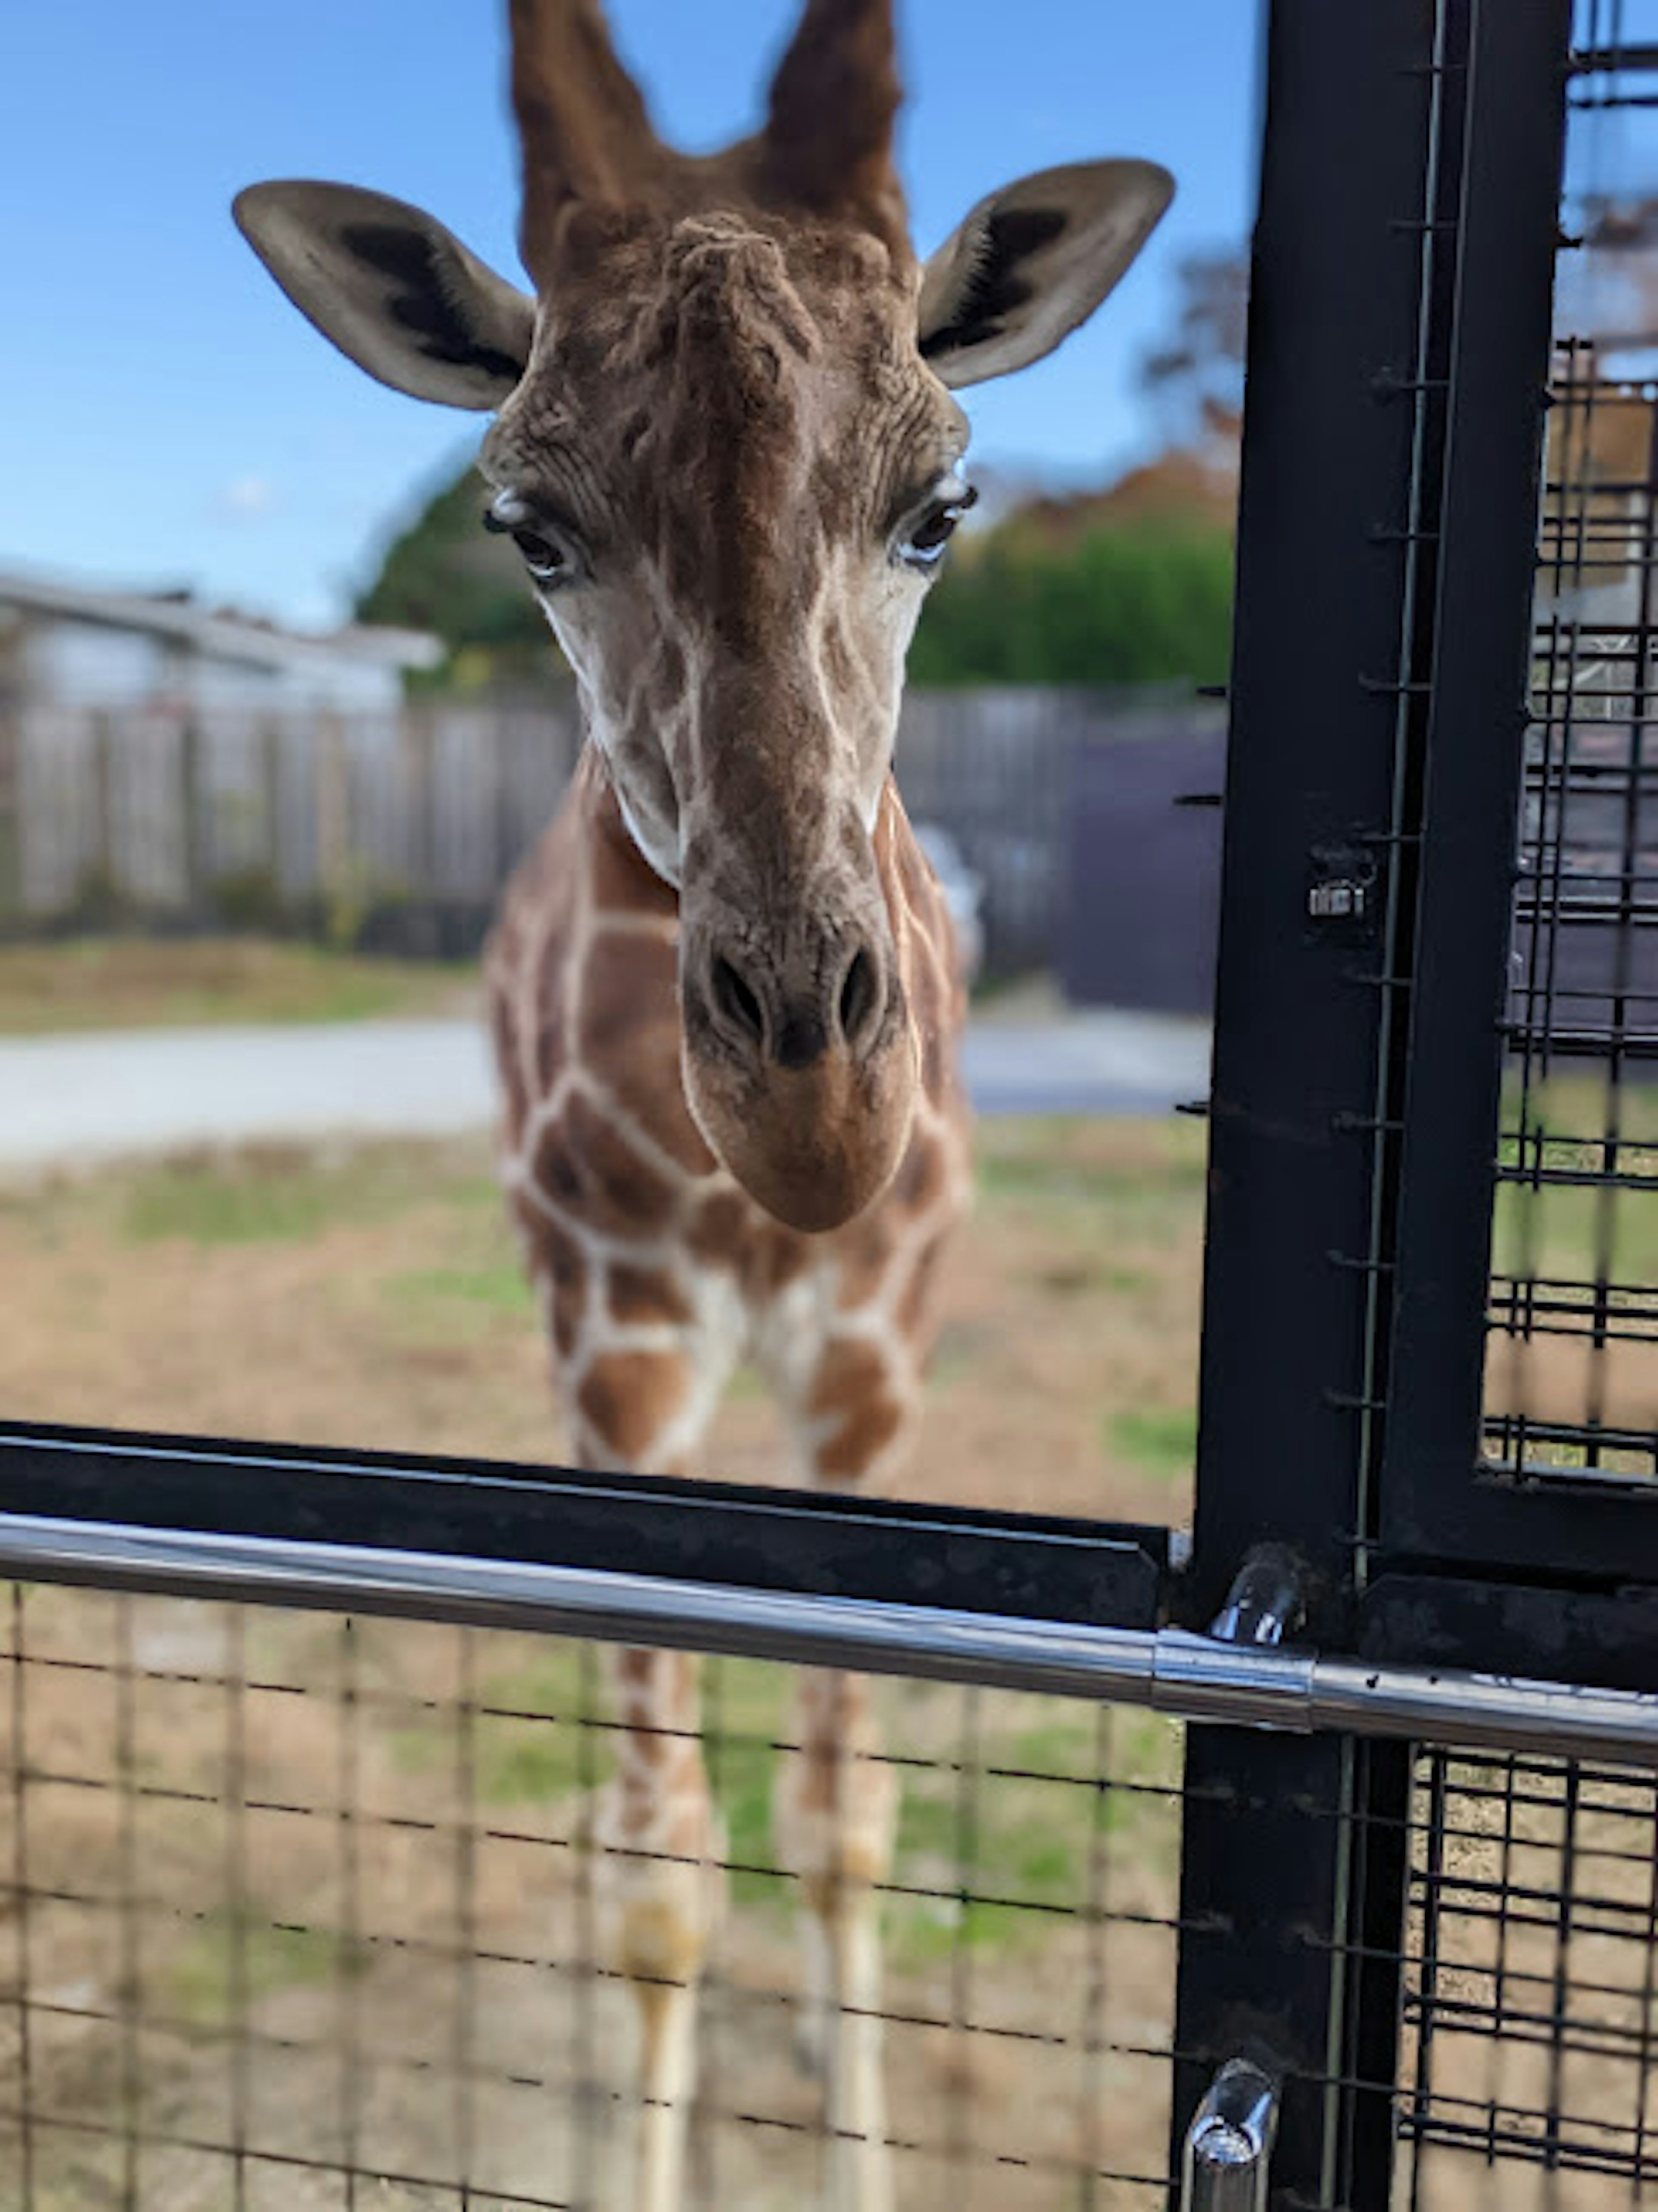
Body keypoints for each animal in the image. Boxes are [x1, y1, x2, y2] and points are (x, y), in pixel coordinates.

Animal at [234, 9, 1176, 2203]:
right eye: (529, 528)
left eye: (944, 505)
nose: (811, 1108)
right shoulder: (626, 1356)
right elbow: (660, 1863)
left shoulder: (870, 1362)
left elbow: (844, 1823)